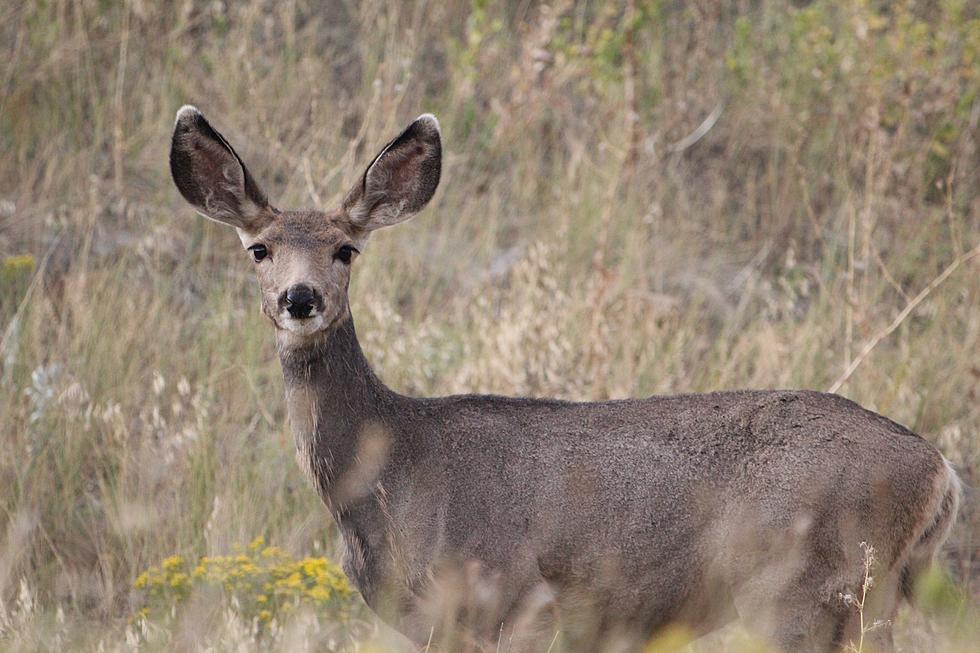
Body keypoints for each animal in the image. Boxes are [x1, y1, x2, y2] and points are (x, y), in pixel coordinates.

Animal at [168, 107, 956, 652]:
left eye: (346, 249)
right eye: (259, 248)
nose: (300, 298)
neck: (395, 469)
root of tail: (941, 470)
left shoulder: (519, 602)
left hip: (801, 589)